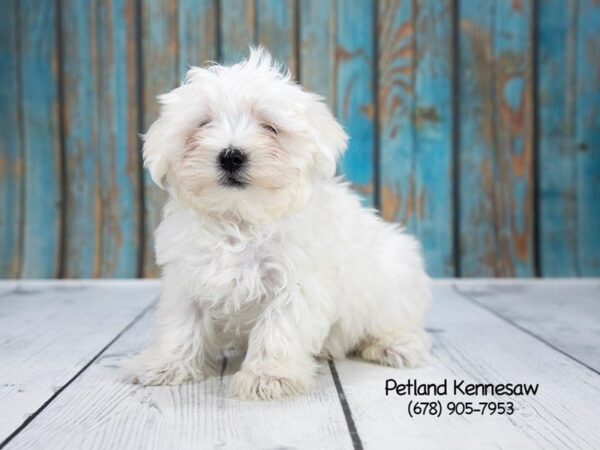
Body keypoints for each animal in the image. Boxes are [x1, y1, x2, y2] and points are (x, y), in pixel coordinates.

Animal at [129, 48, 434, 400]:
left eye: (270, 128)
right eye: (203, 124)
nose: (231, 155)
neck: (240, 220)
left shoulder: (296, 282)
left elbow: (278, 328)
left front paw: (268, 375)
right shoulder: (186, 276)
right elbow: (181, 324)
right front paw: (164, 364)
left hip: (394, 277)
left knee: (398, 320)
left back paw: (394, 344)